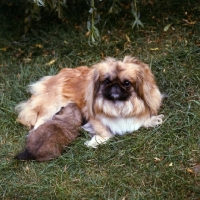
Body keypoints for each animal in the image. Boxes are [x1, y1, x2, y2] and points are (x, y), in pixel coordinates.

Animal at [16, 55, 164, 148]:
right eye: (107, 81)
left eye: (126, 83)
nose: (115, 86)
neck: (118, 106)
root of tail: (52, 79)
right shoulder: (93, 118)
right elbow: (107, 133)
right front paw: (94, 142)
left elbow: (142, 119)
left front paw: (153, 120)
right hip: (51, 107)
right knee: (38, 122)